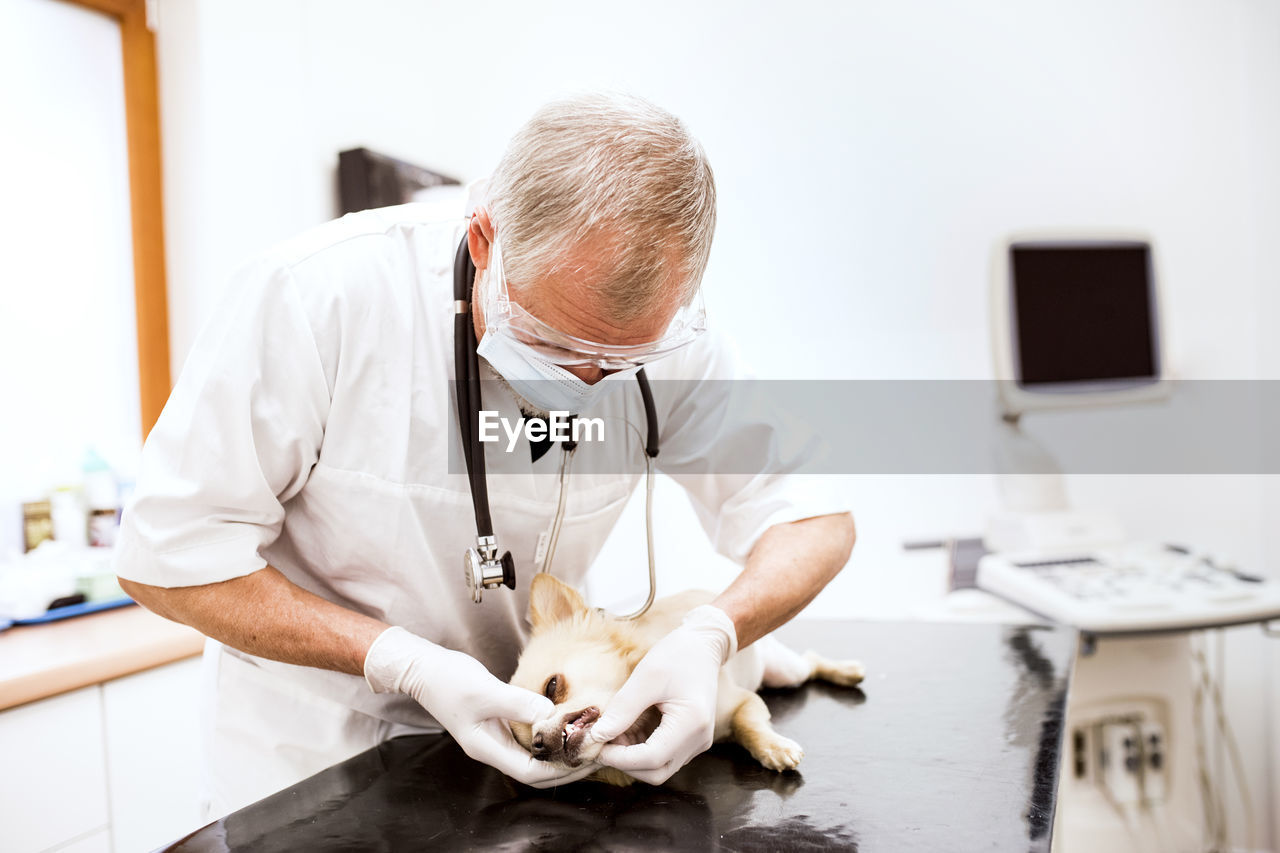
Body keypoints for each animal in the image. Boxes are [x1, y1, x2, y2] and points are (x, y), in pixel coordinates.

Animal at [506, 571, 860, 783]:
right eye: (529, 749)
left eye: (552, 686)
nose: (540, 744)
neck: (642, 722)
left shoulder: (742, 702)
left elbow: (748, 724)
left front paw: (773, 747)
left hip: (786, 672)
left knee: (810, 661)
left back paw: (846, 671)